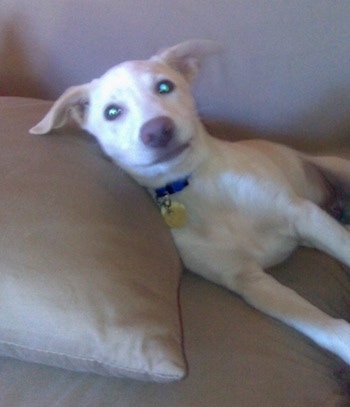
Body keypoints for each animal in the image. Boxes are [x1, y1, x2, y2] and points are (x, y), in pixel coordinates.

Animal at [29, 40, 350, 366]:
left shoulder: (303, 215)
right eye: (112, 112)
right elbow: (318, 324)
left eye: (164, 86)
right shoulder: (247, 281)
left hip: (334, 166)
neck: (201, 188)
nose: (158, 130)